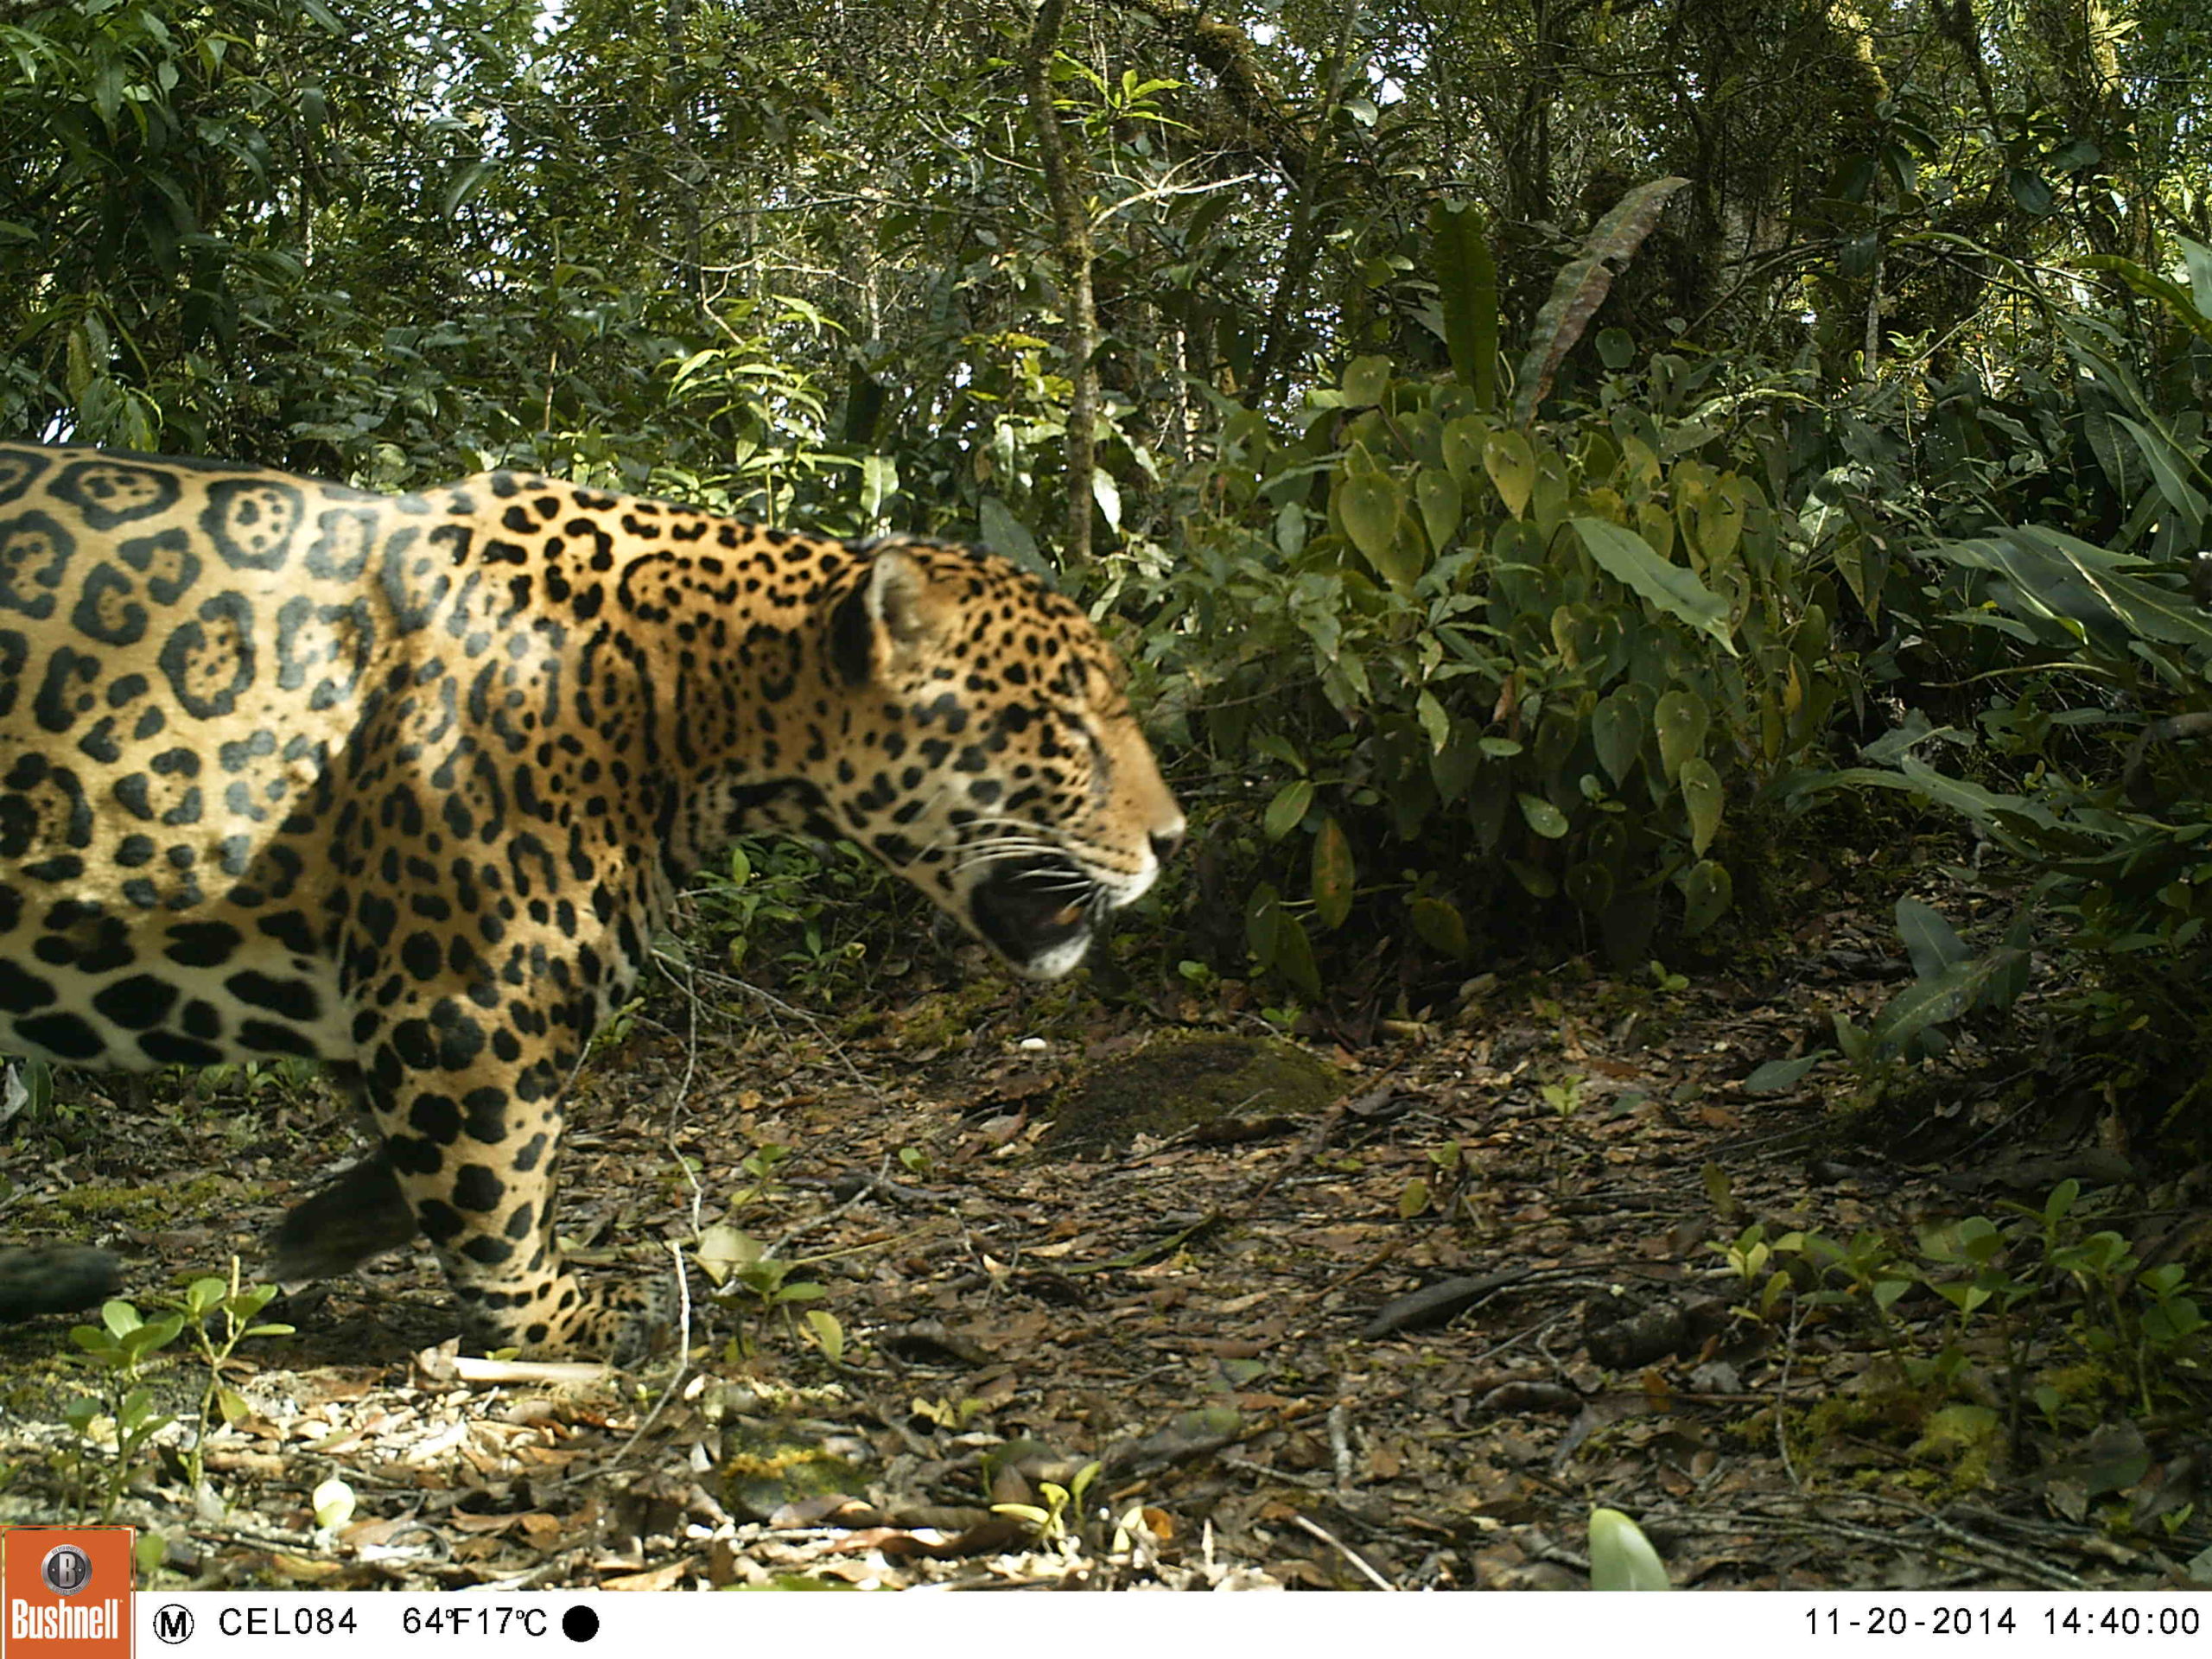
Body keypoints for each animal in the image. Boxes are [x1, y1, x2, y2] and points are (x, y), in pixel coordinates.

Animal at [0, 441, 1182, 1356]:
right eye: (1068, 727)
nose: (1172, 838)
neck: (703, 698)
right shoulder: (460, 1003)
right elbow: (496, 1182)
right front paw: (562, 1324)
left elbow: (414, 1154)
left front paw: (322, 1228)